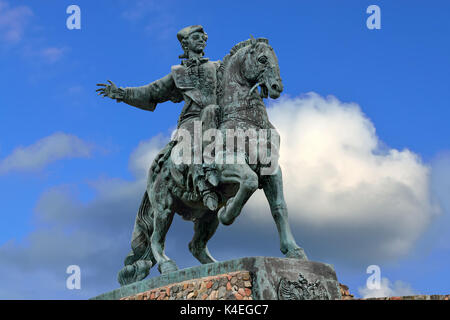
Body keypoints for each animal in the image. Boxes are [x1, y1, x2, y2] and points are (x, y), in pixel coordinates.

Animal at [116, 38, 308, 288]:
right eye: (262, 59)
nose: (277, 87)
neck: (248, 121)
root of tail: (153, 170)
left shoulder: (272, 171)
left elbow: (279, 208)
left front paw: (293, 251)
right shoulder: (225, 166)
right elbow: (248, 181)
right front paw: (228, 213)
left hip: (206, 217)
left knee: (195, 245)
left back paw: (214, 266)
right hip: (164, 206)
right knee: (157, 238)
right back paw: (168, 266)